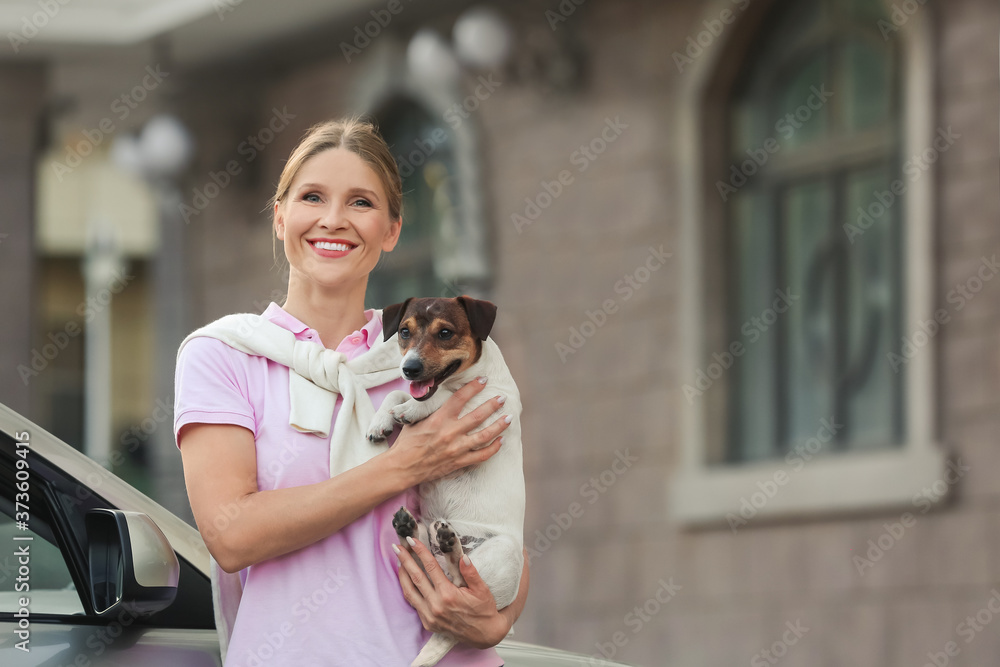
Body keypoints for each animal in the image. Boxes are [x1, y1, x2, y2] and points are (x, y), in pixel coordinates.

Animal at [366, 298, 524, 667]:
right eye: (404, 331)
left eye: (445, 333)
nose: (409, 368)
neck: (459, 381)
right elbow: (396, 395)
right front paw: (381, 419)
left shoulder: (493, 409)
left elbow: (446, 401)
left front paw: (414, 410)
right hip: (427, 546)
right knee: (426, 559)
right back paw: (413, 529)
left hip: (502, 553)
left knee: (458, 578)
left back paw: (452, 546)